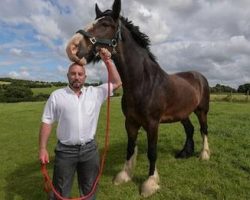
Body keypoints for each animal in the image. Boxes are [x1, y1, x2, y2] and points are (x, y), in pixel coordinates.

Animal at [65, 0, 210, 197]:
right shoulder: (131, 122)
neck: (143, 82)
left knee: (203, 129)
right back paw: (184, 153)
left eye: (105, 24)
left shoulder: (152, 124)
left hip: (202, 111)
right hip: (183, 114)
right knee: (190, 129)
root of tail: (199, 76)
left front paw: (150, 183)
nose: (72, 47)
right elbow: (130, 147)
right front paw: (124, 175)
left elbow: (152, 152)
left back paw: (204, 155)